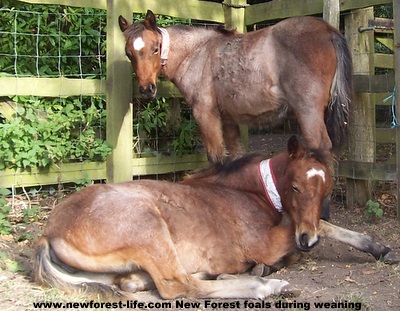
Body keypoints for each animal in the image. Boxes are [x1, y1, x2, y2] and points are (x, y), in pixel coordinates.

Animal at [33, 137, 394, 302]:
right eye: (295, 186)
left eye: (327, 190)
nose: (308, 241)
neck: (252, 192)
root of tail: (48, 232)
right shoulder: (266, 242)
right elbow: (317, 227)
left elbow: (323, 225)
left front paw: (379, 248)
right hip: (149, 227)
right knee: (177, 285)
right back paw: (264, 285)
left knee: (135, 282)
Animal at [118, 11, 350, 165]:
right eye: (128, 53)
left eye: (155, 49)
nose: (146, 89)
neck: (197, 53)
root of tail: (328, 31)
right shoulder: (229, 120)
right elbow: (235, 157)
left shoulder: (205, 114)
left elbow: (216, 158)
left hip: (307, 112)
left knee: (321, 149)